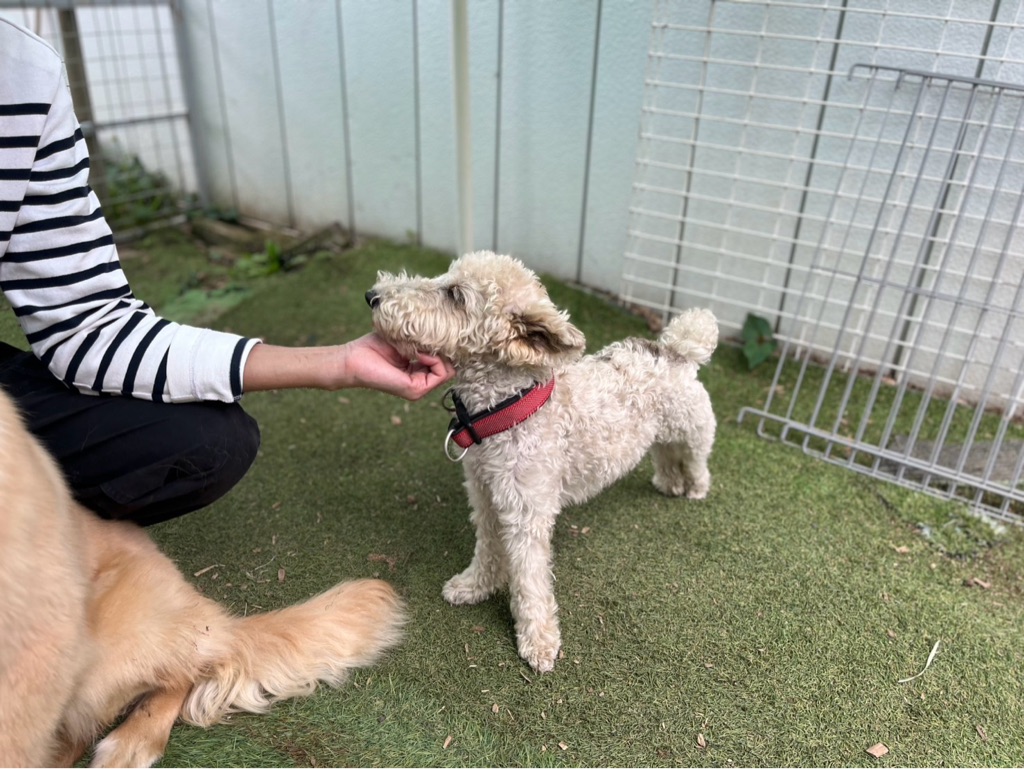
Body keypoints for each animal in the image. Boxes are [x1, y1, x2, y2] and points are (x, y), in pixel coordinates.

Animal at [366, 250, 717, 672]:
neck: (507, 409)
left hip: (694, 426)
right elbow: (487, 548)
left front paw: (538, 640)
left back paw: (694, 489)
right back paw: (668, 483)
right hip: (661, 431)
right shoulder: (485, 494)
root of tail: (676, 349)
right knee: (664, 454)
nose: (371, 295)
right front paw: (474, 586)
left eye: (455, 295)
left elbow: (529, 577)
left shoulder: (526, 511)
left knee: (696, 459)